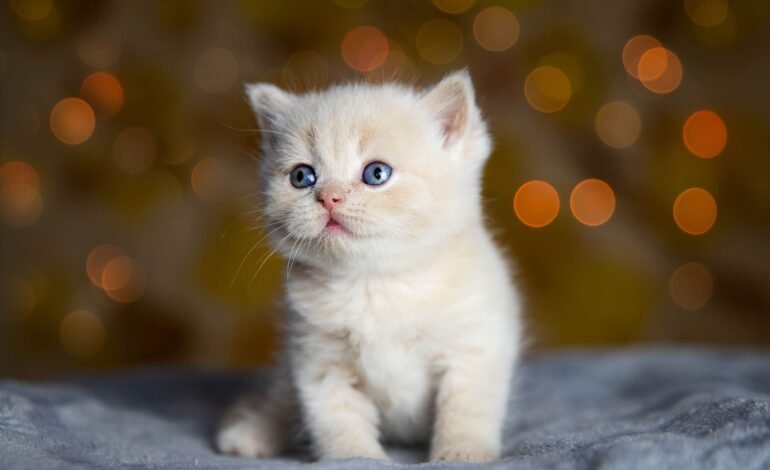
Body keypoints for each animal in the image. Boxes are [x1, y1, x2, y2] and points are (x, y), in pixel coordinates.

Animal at [219, 70, 524, 462]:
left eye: (376, 173)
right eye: (302, 177)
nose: (329, 197)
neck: (374, 282)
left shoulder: (474, 346)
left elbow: (465, 408)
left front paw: (461, 453)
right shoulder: (319, 361)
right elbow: (336, 418)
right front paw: (354, 457)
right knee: (280, 398)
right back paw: (251, 432)